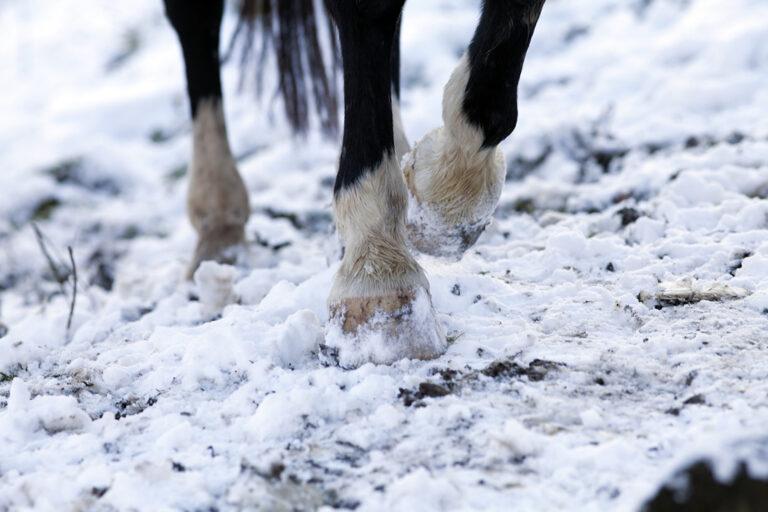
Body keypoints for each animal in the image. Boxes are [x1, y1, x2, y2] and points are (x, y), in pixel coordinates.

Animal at [163, 0, 545, 365]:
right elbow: (370, 13)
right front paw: (379, 272)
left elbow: (492, 101)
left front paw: (440, 207)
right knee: (196, 18)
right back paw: (218, 220)